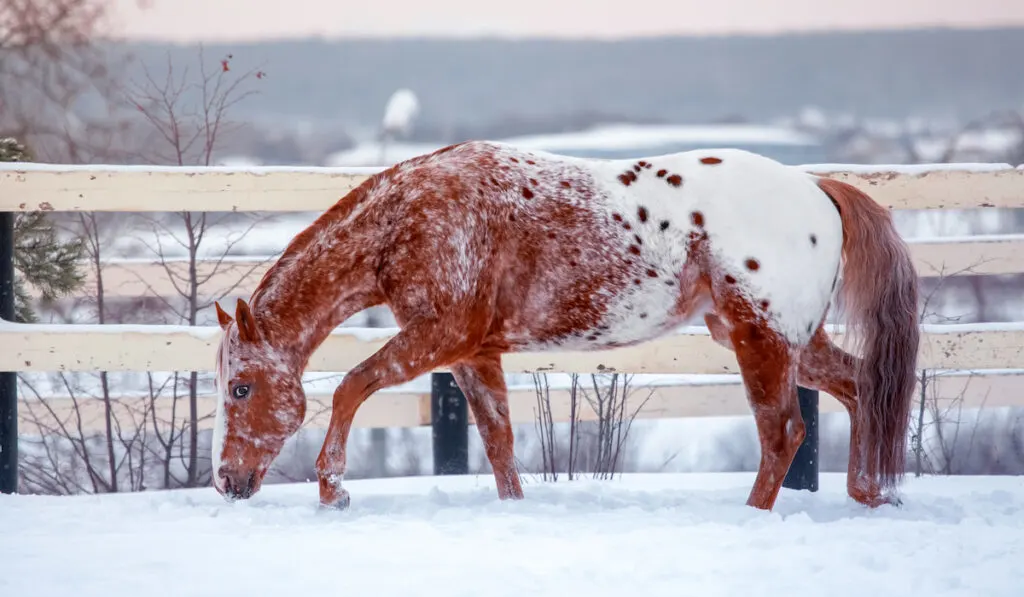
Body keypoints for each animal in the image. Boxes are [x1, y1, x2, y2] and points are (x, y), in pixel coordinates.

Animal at [209, 139, 921, 509]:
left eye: (241, 388)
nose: (226, 481)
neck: (413, 218)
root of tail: (819, 189)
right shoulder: (471, 353)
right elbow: (498, 439)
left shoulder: (438, 336)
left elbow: (351, 386)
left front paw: (333, 489)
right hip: (792, 343)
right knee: (862, 387)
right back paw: (869, 494)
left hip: (761, 340)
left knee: (783, 433)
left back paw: (756, 514)